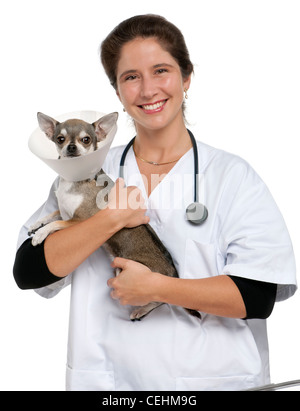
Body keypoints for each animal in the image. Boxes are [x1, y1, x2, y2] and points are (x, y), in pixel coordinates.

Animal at [29, 112, 200, 322]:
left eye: (86, 140)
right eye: (61, 139)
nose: (71, 147)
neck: (74, 180)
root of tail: (171, 276)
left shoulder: (80, 220)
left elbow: (58, 222)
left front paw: (40, 234)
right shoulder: (65, 211)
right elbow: (53, 214)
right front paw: (37, 223)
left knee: (160, 299)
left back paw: (140, 310)